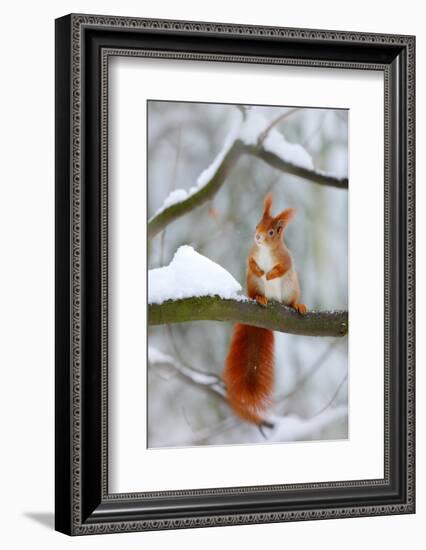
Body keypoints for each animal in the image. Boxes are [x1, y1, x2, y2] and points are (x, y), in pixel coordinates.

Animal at [223, 194, 306, 426]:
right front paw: (261, 270)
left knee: (291, 301)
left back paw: (298, 305)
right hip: (253, 285)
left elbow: (282, 267)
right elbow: (250, 262)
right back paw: (259, 298)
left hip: (291, 288)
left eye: (271, 232)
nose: (257, 237)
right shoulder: (252, 254)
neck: (266, 251)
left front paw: (270, 274)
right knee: (255, 292)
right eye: (256, 225)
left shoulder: (286, 259)